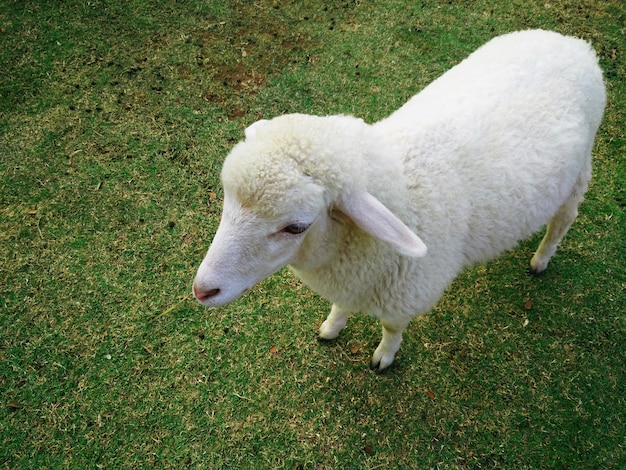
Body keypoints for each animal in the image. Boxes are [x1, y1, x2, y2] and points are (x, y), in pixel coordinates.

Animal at [191, 31, 604, 372]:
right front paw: (331, 327)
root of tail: (577, 45)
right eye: (227, 196)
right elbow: (341, 306)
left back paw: (541, 259)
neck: (403, 185)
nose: (202, 290)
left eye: (295, 227)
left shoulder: (407, 292)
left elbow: (392, 327)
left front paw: (384, 357)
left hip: (580, 169)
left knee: (563, 220)